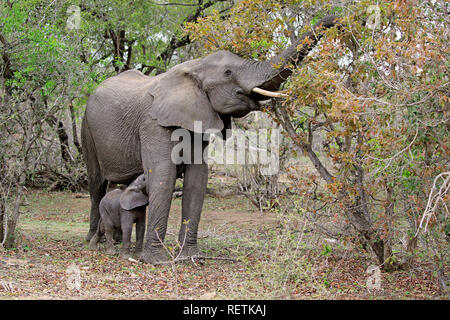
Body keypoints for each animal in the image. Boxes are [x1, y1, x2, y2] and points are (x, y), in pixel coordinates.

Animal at [82, 15, 340, 264]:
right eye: (228, 73)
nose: (338, 20)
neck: (195, 66)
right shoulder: (153, 124)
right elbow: (163, 176)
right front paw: (155, 261)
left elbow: (198, 179)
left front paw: (190, 258)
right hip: (87, 129)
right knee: (96, 184)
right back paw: (93, 241)